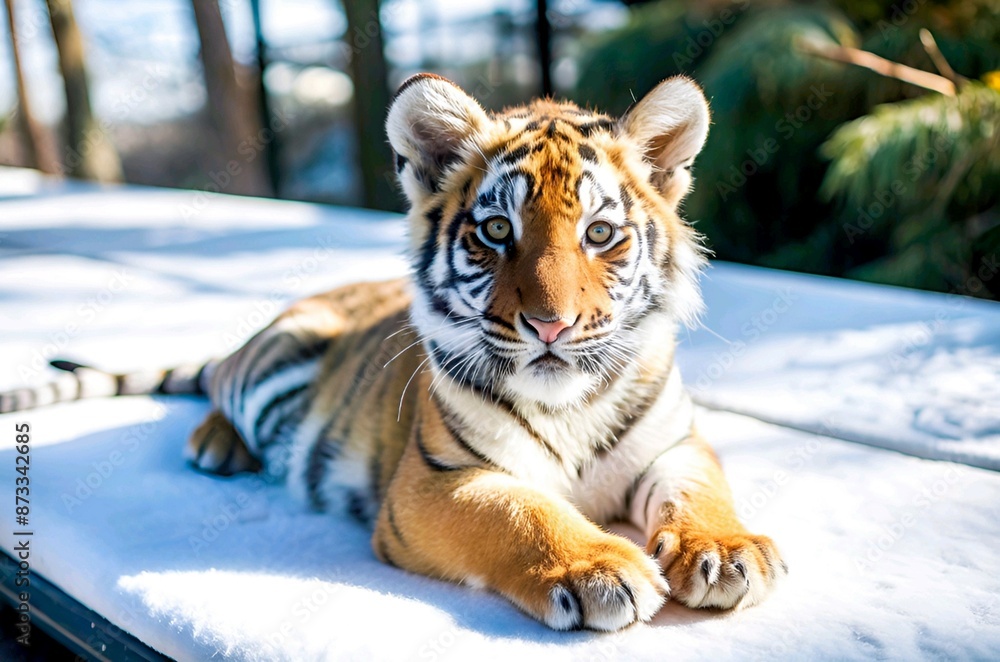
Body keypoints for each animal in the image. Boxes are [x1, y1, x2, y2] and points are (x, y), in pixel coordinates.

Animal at [0, 73, 786, 631]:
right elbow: (518, 511)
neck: (572, 403)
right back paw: (216, 441)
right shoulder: (435, 481)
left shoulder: (677, 444)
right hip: (279, 348)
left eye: (599, 234)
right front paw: (596, 568)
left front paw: (724, 552)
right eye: (496, 230)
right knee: (220, 384)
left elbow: (699, 493)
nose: (551, 326)